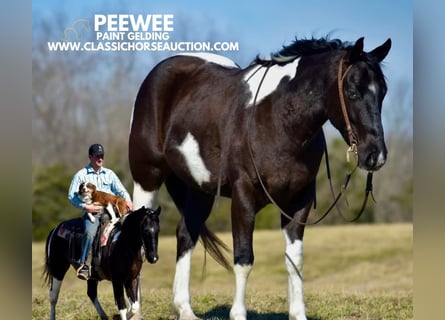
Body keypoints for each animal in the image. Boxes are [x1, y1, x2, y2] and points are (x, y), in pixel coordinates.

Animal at [127, 36, 388, 318]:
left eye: (383, 93)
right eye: (353, 93)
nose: (376, 155)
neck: (278, 119)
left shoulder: (299, 202)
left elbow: (294, 260)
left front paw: (298, 313)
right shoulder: (244, 198)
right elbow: (244, 259)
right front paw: (238, 313)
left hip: (200, 190)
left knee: (186, 235)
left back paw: (185, 309)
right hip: (147, 177)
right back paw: (136, 311)